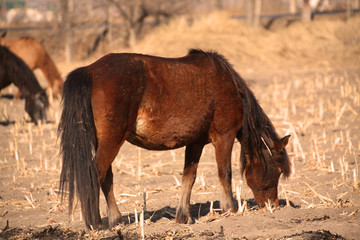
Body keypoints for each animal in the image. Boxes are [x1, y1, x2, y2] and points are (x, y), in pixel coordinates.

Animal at [58, 48, 290, 229]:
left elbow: (189, 177)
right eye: (278, 170)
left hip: (105, 141)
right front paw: (231, 209)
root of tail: (90, 69)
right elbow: (225, 172)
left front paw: (183, 216)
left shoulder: (195, 143)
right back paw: (95, 222)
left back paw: (115, 220)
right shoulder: (225, 136)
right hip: (112, 140)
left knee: (106, 177)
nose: (274, 206)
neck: (227, 84)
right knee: (95, 174)